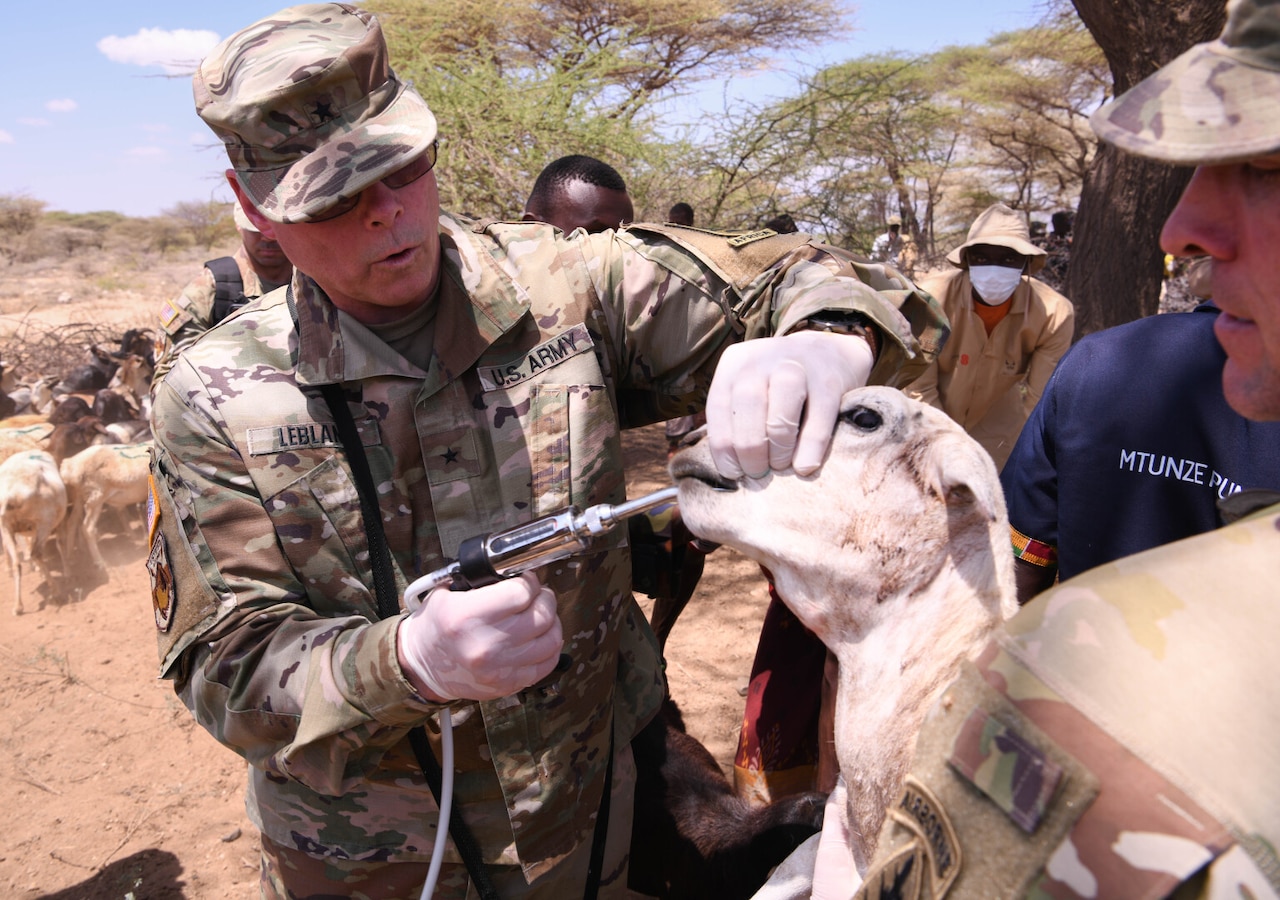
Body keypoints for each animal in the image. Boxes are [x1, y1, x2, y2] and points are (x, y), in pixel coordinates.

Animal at [0, 450, 69, 614]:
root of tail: (10, 494)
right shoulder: (59, 521)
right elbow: (61, 544)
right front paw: (68, 572)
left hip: (6, 526)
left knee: (17, 562)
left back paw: (18, 606)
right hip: (44, 522)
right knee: (36, 554)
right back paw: (56, 592)